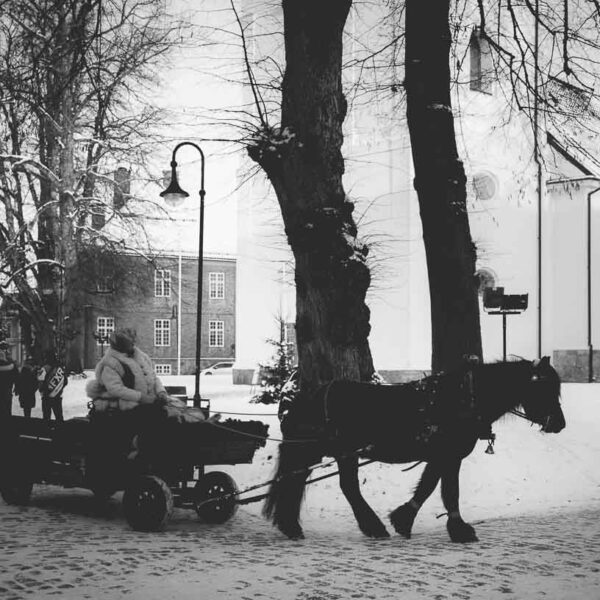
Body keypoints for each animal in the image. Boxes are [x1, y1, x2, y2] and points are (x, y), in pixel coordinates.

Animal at [264, 356, 564, 544]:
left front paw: (414, 521)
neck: (463, 399)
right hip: (339, 452)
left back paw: (292, 526)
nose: (559, 424)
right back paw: (372, 527)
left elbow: (437, 488)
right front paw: (448, 528)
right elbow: (440, 490)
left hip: (322, 453)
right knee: (344, 487)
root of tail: (307, 396)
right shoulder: (447, 455)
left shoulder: (445, 457)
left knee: (297, 481)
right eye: (544, 388)